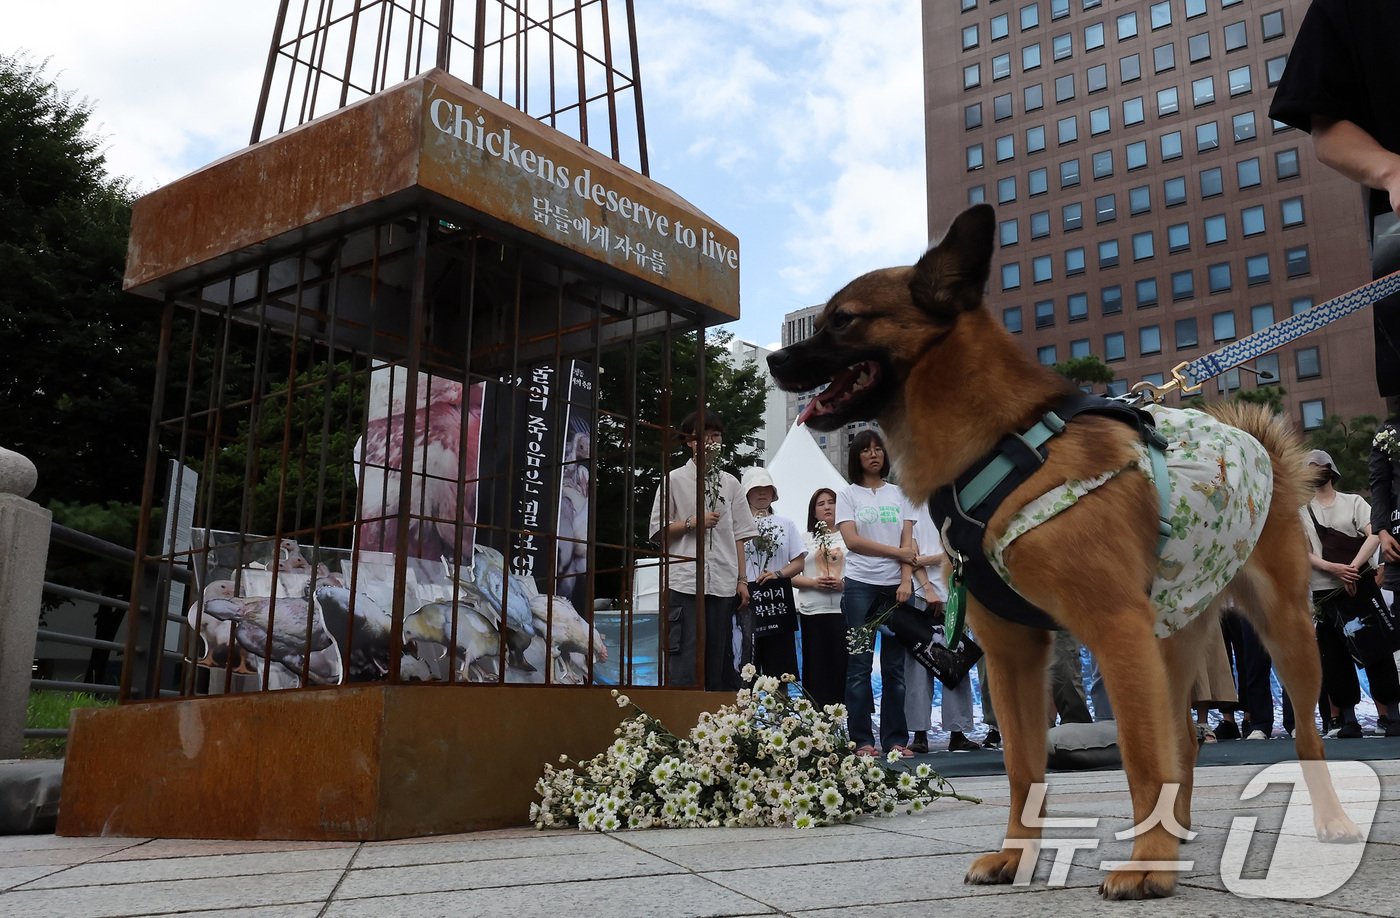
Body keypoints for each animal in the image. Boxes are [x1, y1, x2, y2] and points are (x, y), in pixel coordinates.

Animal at [772, 204, 1360, 901]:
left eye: (844, 320)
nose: (774, 360)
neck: (1001, 446)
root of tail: (1255, 443)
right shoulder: (1013, 655)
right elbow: (1023, 770)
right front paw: (1018, 856)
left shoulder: (1113, 630)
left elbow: (1139, 755)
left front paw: (1145, 863)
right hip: (1170, 638)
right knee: (1185, 740)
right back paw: (1177, 835)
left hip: (1284, 630)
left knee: (1303, 733)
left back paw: (1323, 820)